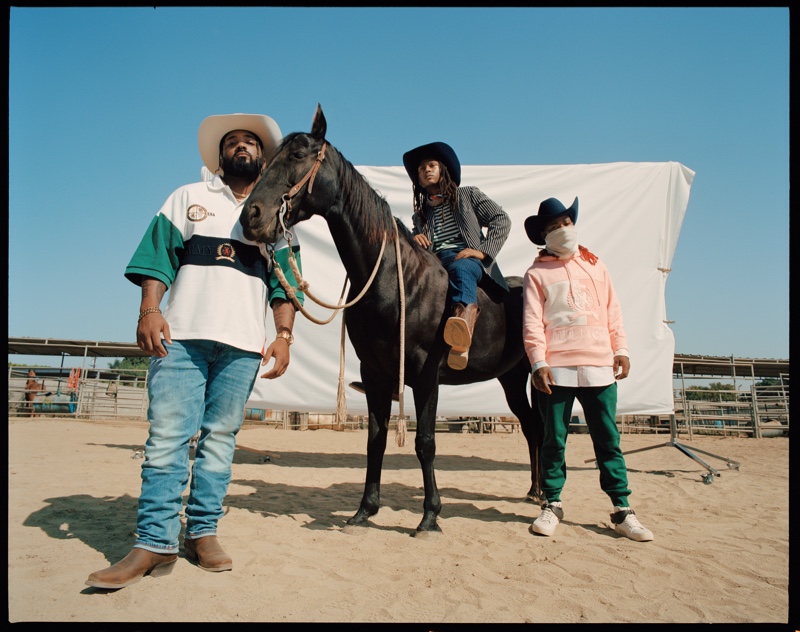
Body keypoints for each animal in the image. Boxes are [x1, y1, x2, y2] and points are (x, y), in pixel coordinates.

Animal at [241, 105, 540, 532]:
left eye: (297, 155)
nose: (252, 215)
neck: (394, 283)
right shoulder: (375, 375)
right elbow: (376, 440)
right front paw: (365, 509)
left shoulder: (426, 377)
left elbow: (425, 443)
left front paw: (430, 515)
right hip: (511, 378)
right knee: (532, 426)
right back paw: (534, 491)